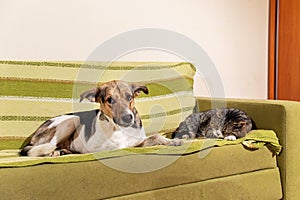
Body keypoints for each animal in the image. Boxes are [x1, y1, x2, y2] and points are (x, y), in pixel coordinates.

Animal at [21, 80, 182, 157]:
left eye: (129, 97)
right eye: (110, 100)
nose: (128, 118)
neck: (120, 129)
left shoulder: (139, 141)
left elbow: (155, 137)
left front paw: (172, 141)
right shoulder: (96, 147)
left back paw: (63, 151)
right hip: (71, 121)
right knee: (48, 145)